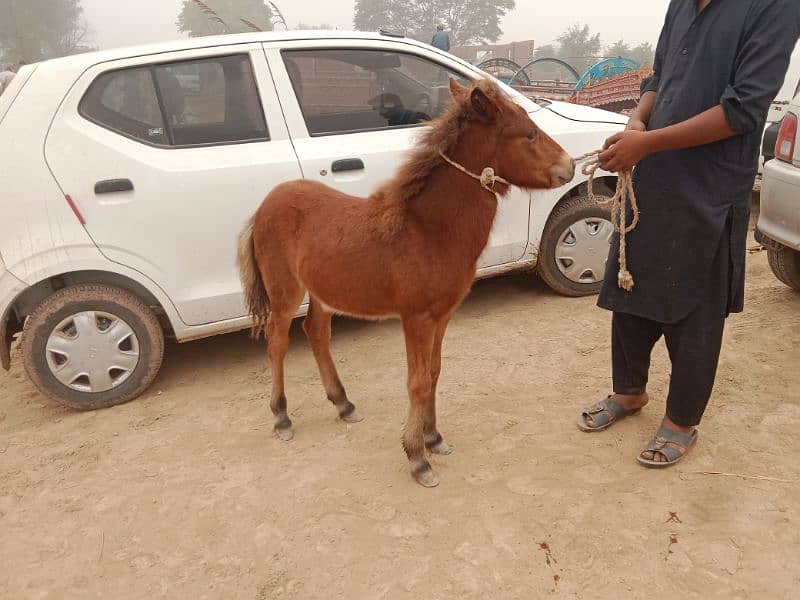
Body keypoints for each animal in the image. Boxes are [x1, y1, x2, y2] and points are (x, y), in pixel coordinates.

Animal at [238, 77, 576, 486]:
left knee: (316, 331)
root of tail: (264, 205)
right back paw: (282, 416)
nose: (570, 166)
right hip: (284, 290)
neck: (428, 230)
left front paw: (433, 437)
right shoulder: (415, 317)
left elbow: (434, 373)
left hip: (321, 290)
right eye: (528, 133)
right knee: (278, 341)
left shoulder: (442, 315)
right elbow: (417, 381)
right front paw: (417, 456)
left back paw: (343, 403)